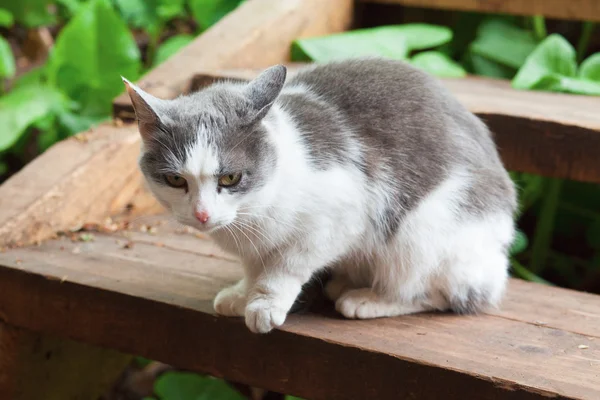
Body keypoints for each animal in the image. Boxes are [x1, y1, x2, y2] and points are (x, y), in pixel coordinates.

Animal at [122, 57, 516, 334]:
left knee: (446, 293)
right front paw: (242, 293)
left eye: (230, 178)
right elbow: (254, 267)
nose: (202, 214)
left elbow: (286, 265)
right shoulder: (255, 248)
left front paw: (265, 304)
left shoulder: (340, 219)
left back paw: (368, 299)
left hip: (425, 231)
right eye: (175, 180)